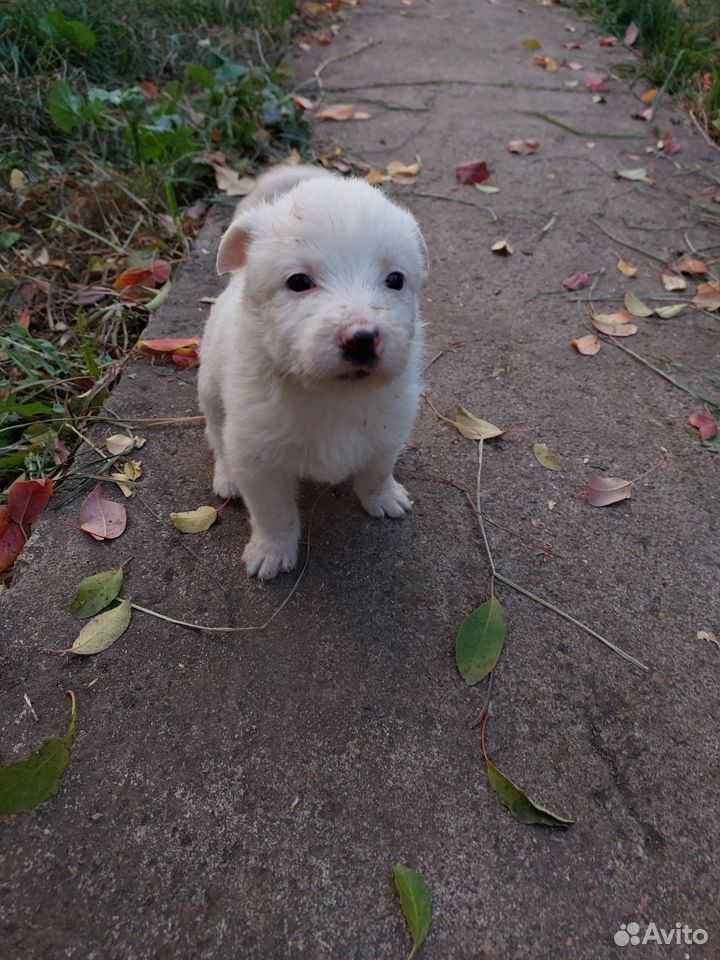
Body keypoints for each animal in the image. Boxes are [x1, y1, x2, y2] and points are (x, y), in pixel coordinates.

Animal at [197, 164, 424, 576]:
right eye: (299, 282)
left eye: (395, 280)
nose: (362, 339)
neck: (329, 396)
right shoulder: (257, 459)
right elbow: (274, 513)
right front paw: (271, 552)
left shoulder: (388, 430)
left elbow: (377, 470)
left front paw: (382, 498)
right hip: (210, 392)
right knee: (216, 438)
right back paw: (226, 478)